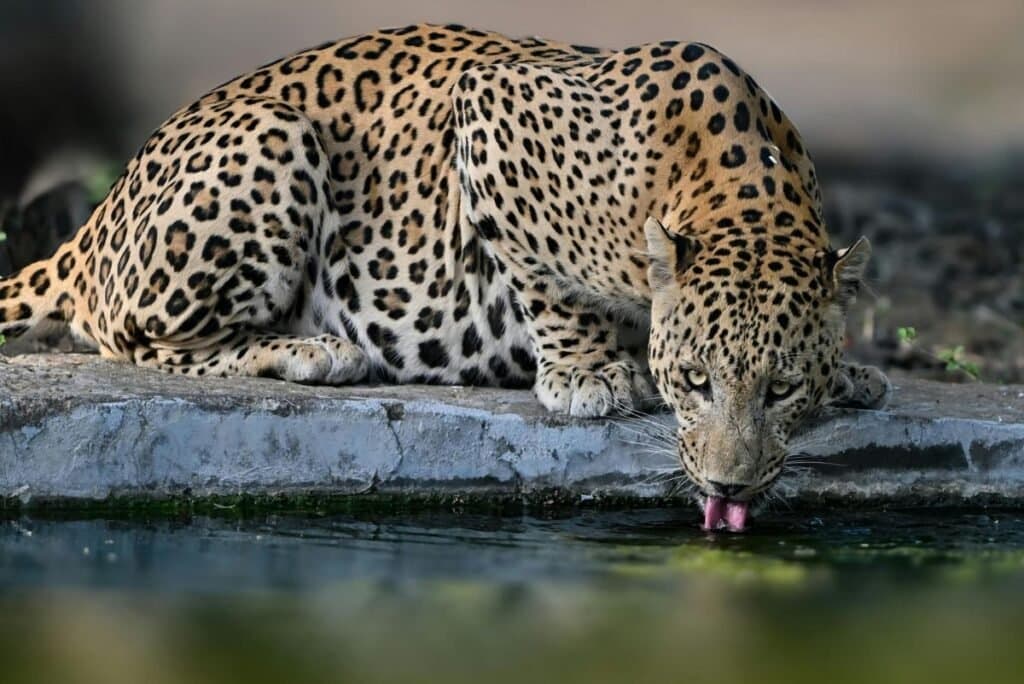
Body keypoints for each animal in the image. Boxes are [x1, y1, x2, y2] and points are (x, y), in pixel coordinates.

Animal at [0, 23, 890, 529]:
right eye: (697, 381)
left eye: (781, 389)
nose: (728, 486)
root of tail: (94, 224)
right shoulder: (491, 106)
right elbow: (545, 279)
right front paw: (587, 372)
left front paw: (852, 374)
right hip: (273, 142)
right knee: (140, 340)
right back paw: (312, 349)